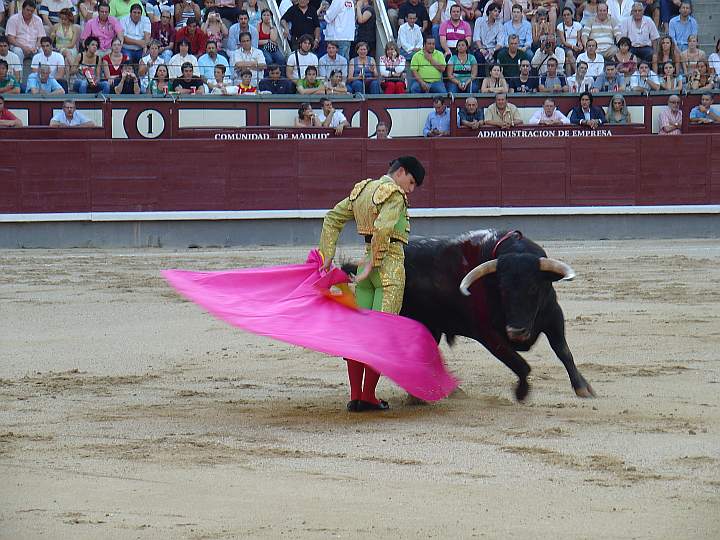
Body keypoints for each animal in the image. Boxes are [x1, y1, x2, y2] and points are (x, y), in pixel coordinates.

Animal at [346, 229, 592, 400]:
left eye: (534, 288)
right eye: (502, 288)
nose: (517, 331)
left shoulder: (553, 316)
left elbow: (564, 352)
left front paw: (583, 387)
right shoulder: (487, 333)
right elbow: (520, 364)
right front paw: (521, 393)